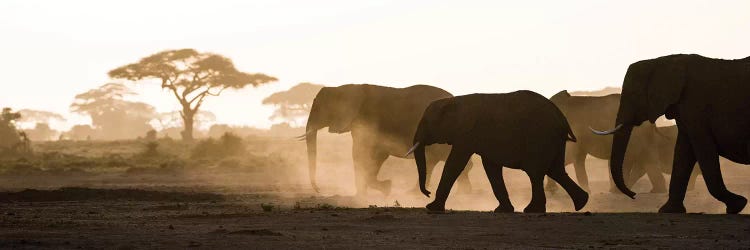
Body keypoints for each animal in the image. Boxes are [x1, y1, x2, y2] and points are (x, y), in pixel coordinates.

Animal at [298, 85, 470, 196]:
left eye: (318, 108)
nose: (319, 190)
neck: (346, 87)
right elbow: (372, 155)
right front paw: (374, 191)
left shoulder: (368, 121)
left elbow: (362, 153)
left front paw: (384, 188)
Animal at [408, 91, 592, 212]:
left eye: (426, 122)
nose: (427, 193)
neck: (454, 101)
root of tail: (562, 118)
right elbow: (491, 167)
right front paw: (503, 210)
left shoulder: (467, 134)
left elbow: (455, 163)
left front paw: (432, 208)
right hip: (554, 140)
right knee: (555, 170)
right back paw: (582, 203)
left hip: (541, 138)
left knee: (536, 172)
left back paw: (533, 210)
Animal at [596, 53, 748, 214]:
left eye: (635, 94)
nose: (633, 195)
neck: (664, 60)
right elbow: (683, 152)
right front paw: (669, 210)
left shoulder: (695, 108)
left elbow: (703, 149)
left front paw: (738, 205)